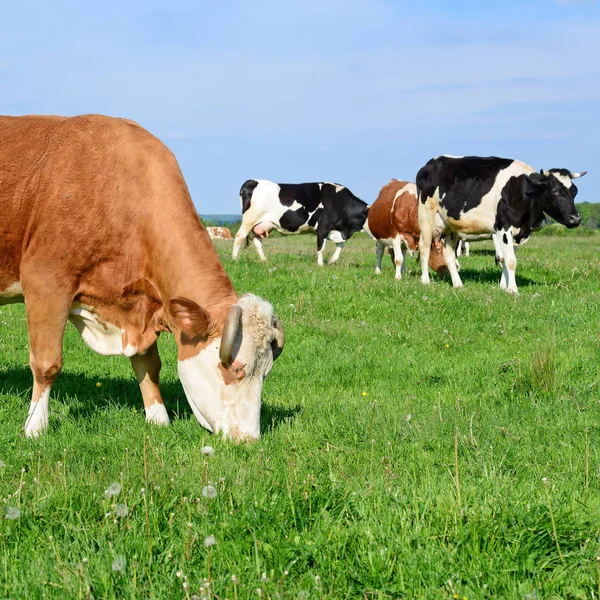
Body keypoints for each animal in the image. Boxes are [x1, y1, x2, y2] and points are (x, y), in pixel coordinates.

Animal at [0, 113, 284, 440]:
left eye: (265, 373)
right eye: (233, 368)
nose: (248, 440)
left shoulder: (142, 303)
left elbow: (149, 364)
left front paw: (158, 418)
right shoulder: (46, 281)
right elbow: (47, 363)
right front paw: (35, 427)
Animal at [232, 179, 368, 266]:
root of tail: (252, 181)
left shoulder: (338, 229)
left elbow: (340, 245)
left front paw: (332, 261)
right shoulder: (323, 227)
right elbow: (321, 248)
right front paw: (320, 265)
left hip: (258, 225)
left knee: (257, 241)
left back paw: (265, 261)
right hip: (249, 219)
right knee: (239, 236)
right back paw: (234, 259)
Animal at [418, 156, 584, 294]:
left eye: (575, 192)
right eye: (555, 191)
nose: (575, 218)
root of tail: (430, 163)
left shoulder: (518, 233)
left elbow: (505, 259)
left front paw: (504, 286)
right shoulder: (503, 228)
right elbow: (510, 261)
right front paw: (513, 289)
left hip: (451, 226)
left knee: (449, 254)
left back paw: (458, 284)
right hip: (426, 217)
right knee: (425, 248)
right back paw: (425, 281)